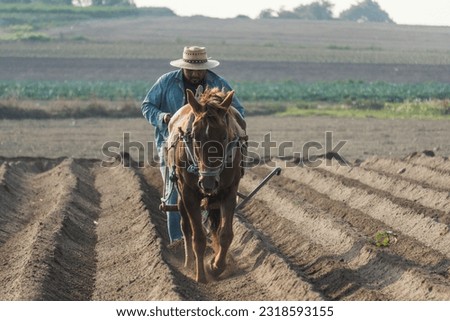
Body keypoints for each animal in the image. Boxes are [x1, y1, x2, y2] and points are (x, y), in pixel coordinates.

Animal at [167, 86, 248, 282]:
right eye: (195, 137)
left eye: (224, 135)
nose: (208, 182)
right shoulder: (189, 193)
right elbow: (198, 237)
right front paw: (200, 276)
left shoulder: (229, 191)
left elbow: (225, 234)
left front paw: (216, 266)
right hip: (180, 192)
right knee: (185, 227)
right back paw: (189, 262)